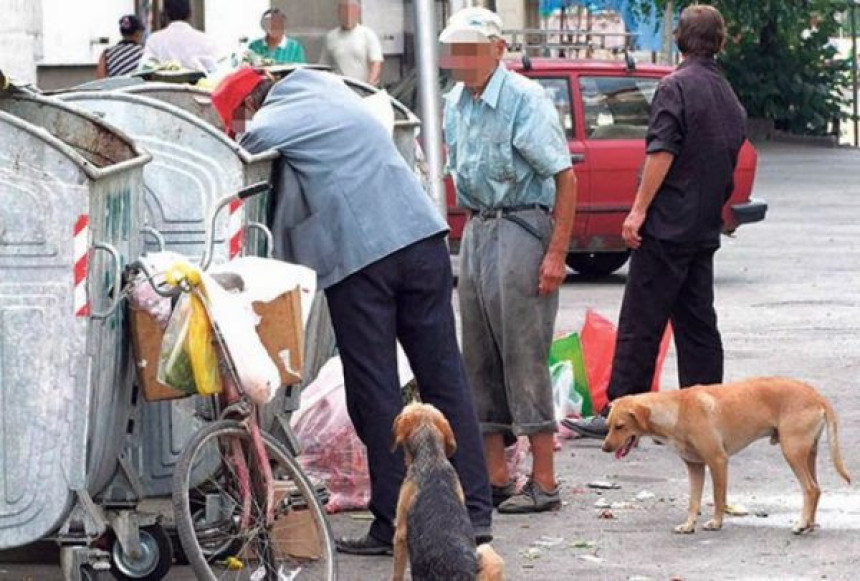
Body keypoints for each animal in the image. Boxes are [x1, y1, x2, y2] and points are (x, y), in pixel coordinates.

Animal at [600, 376, 848, 536]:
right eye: (608, 425)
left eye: (620, 426)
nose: (604, 448)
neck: (676, 409)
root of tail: (817, 395)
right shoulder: (695, 466)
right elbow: (693, 501)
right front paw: (689, 525)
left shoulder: (718, 461)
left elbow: (718, 497)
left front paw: (716, 523)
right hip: (808, 453)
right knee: (816, 489)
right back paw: (809, 524)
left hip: (792, 451)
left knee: (810, 489)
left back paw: (801, 524)